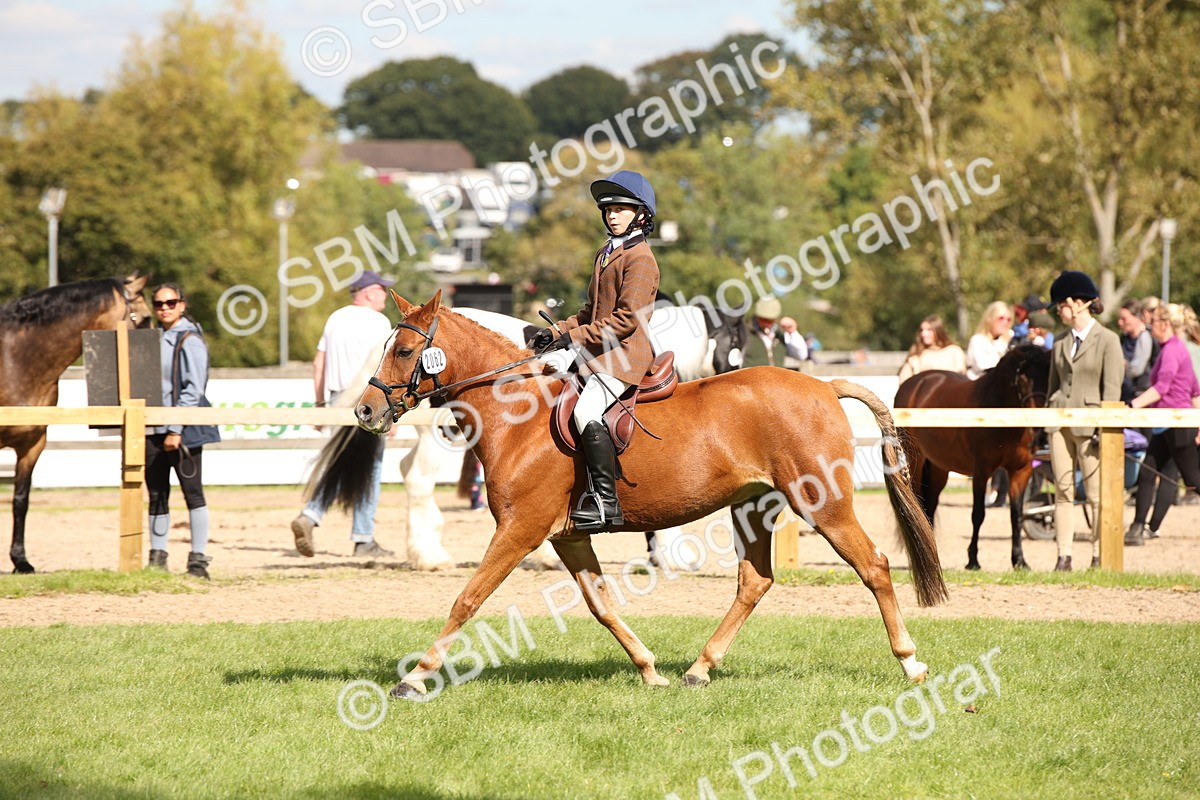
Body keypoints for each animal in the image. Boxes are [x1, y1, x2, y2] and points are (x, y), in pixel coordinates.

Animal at [353, 291, 946, 698]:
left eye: (403, 350)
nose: (365, 409)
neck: (518, 414)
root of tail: (823, 385)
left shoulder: (519, 530)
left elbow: (467, 598)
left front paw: (415, 678)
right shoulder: (568, 538)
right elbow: (601, 605)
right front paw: (649, 669)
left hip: (822, 503)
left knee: (873, 566)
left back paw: (911, 662)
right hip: (753, 507)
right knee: (755, 582)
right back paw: (698, 669)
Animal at [893, 345, 1051, 571]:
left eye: (1048, 375)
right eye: (1022, 378)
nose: (1039, 425)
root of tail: (915, 382)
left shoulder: (1021, 471)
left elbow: (1017, 515)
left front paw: (1019, 560)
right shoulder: (981, 471)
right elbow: (978, 515)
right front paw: (973, 560)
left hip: (938, 468)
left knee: (930, 506)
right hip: (915, 461)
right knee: (917, 503)